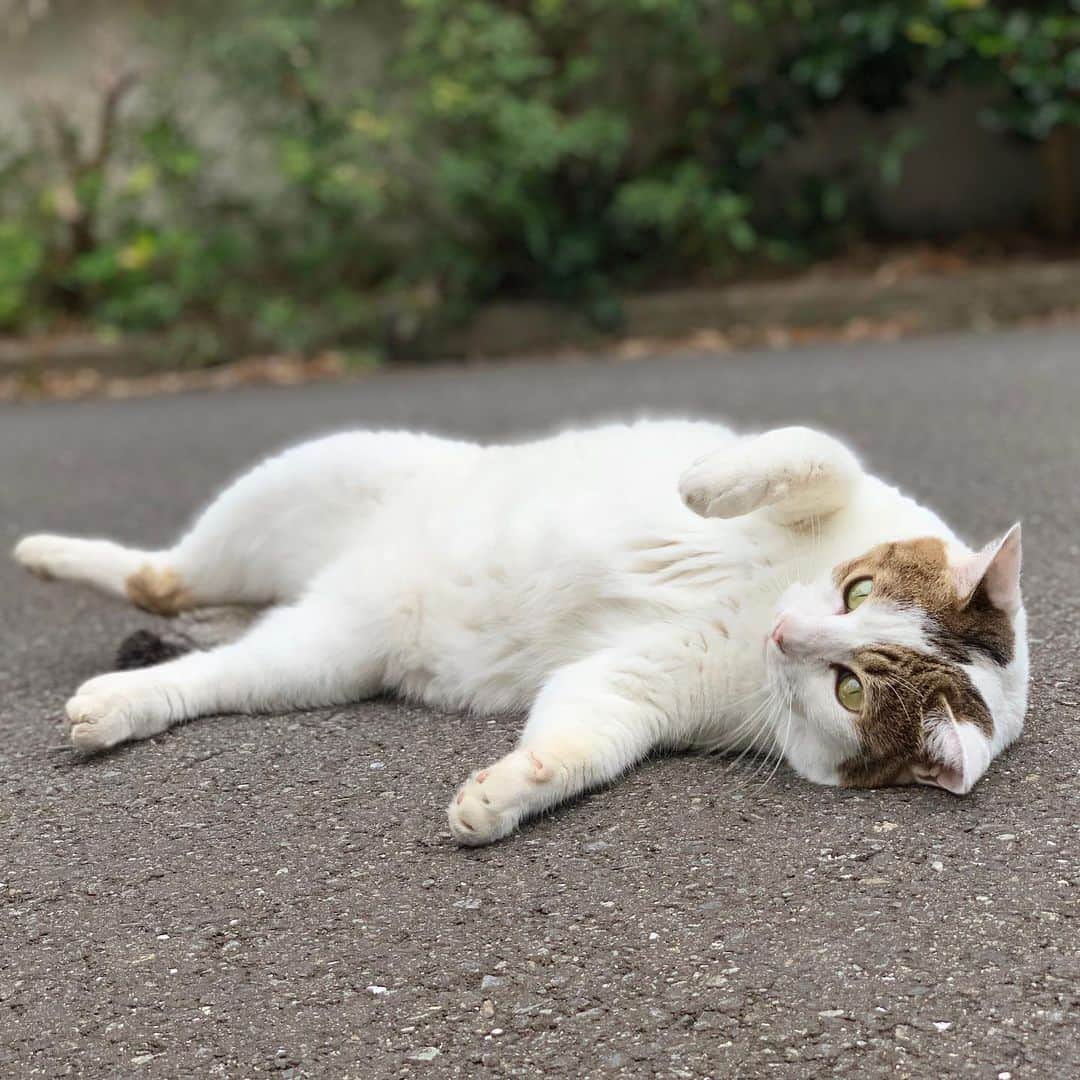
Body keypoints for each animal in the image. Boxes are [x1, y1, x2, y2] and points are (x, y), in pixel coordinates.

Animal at [16, 421, 1028, 842]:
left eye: (849, 689)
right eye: (856, 590)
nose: (785, 631)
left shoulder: (626, 689)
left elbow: (576, 743)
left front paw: (502, 796)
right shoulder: (838, 483)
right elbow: (808, 453)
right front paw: (700, 485)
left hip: (320, 656)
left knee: (204, 643)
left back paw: (117, 702)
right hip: (297, 484)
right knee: (158, 576)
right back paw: (40, 552)